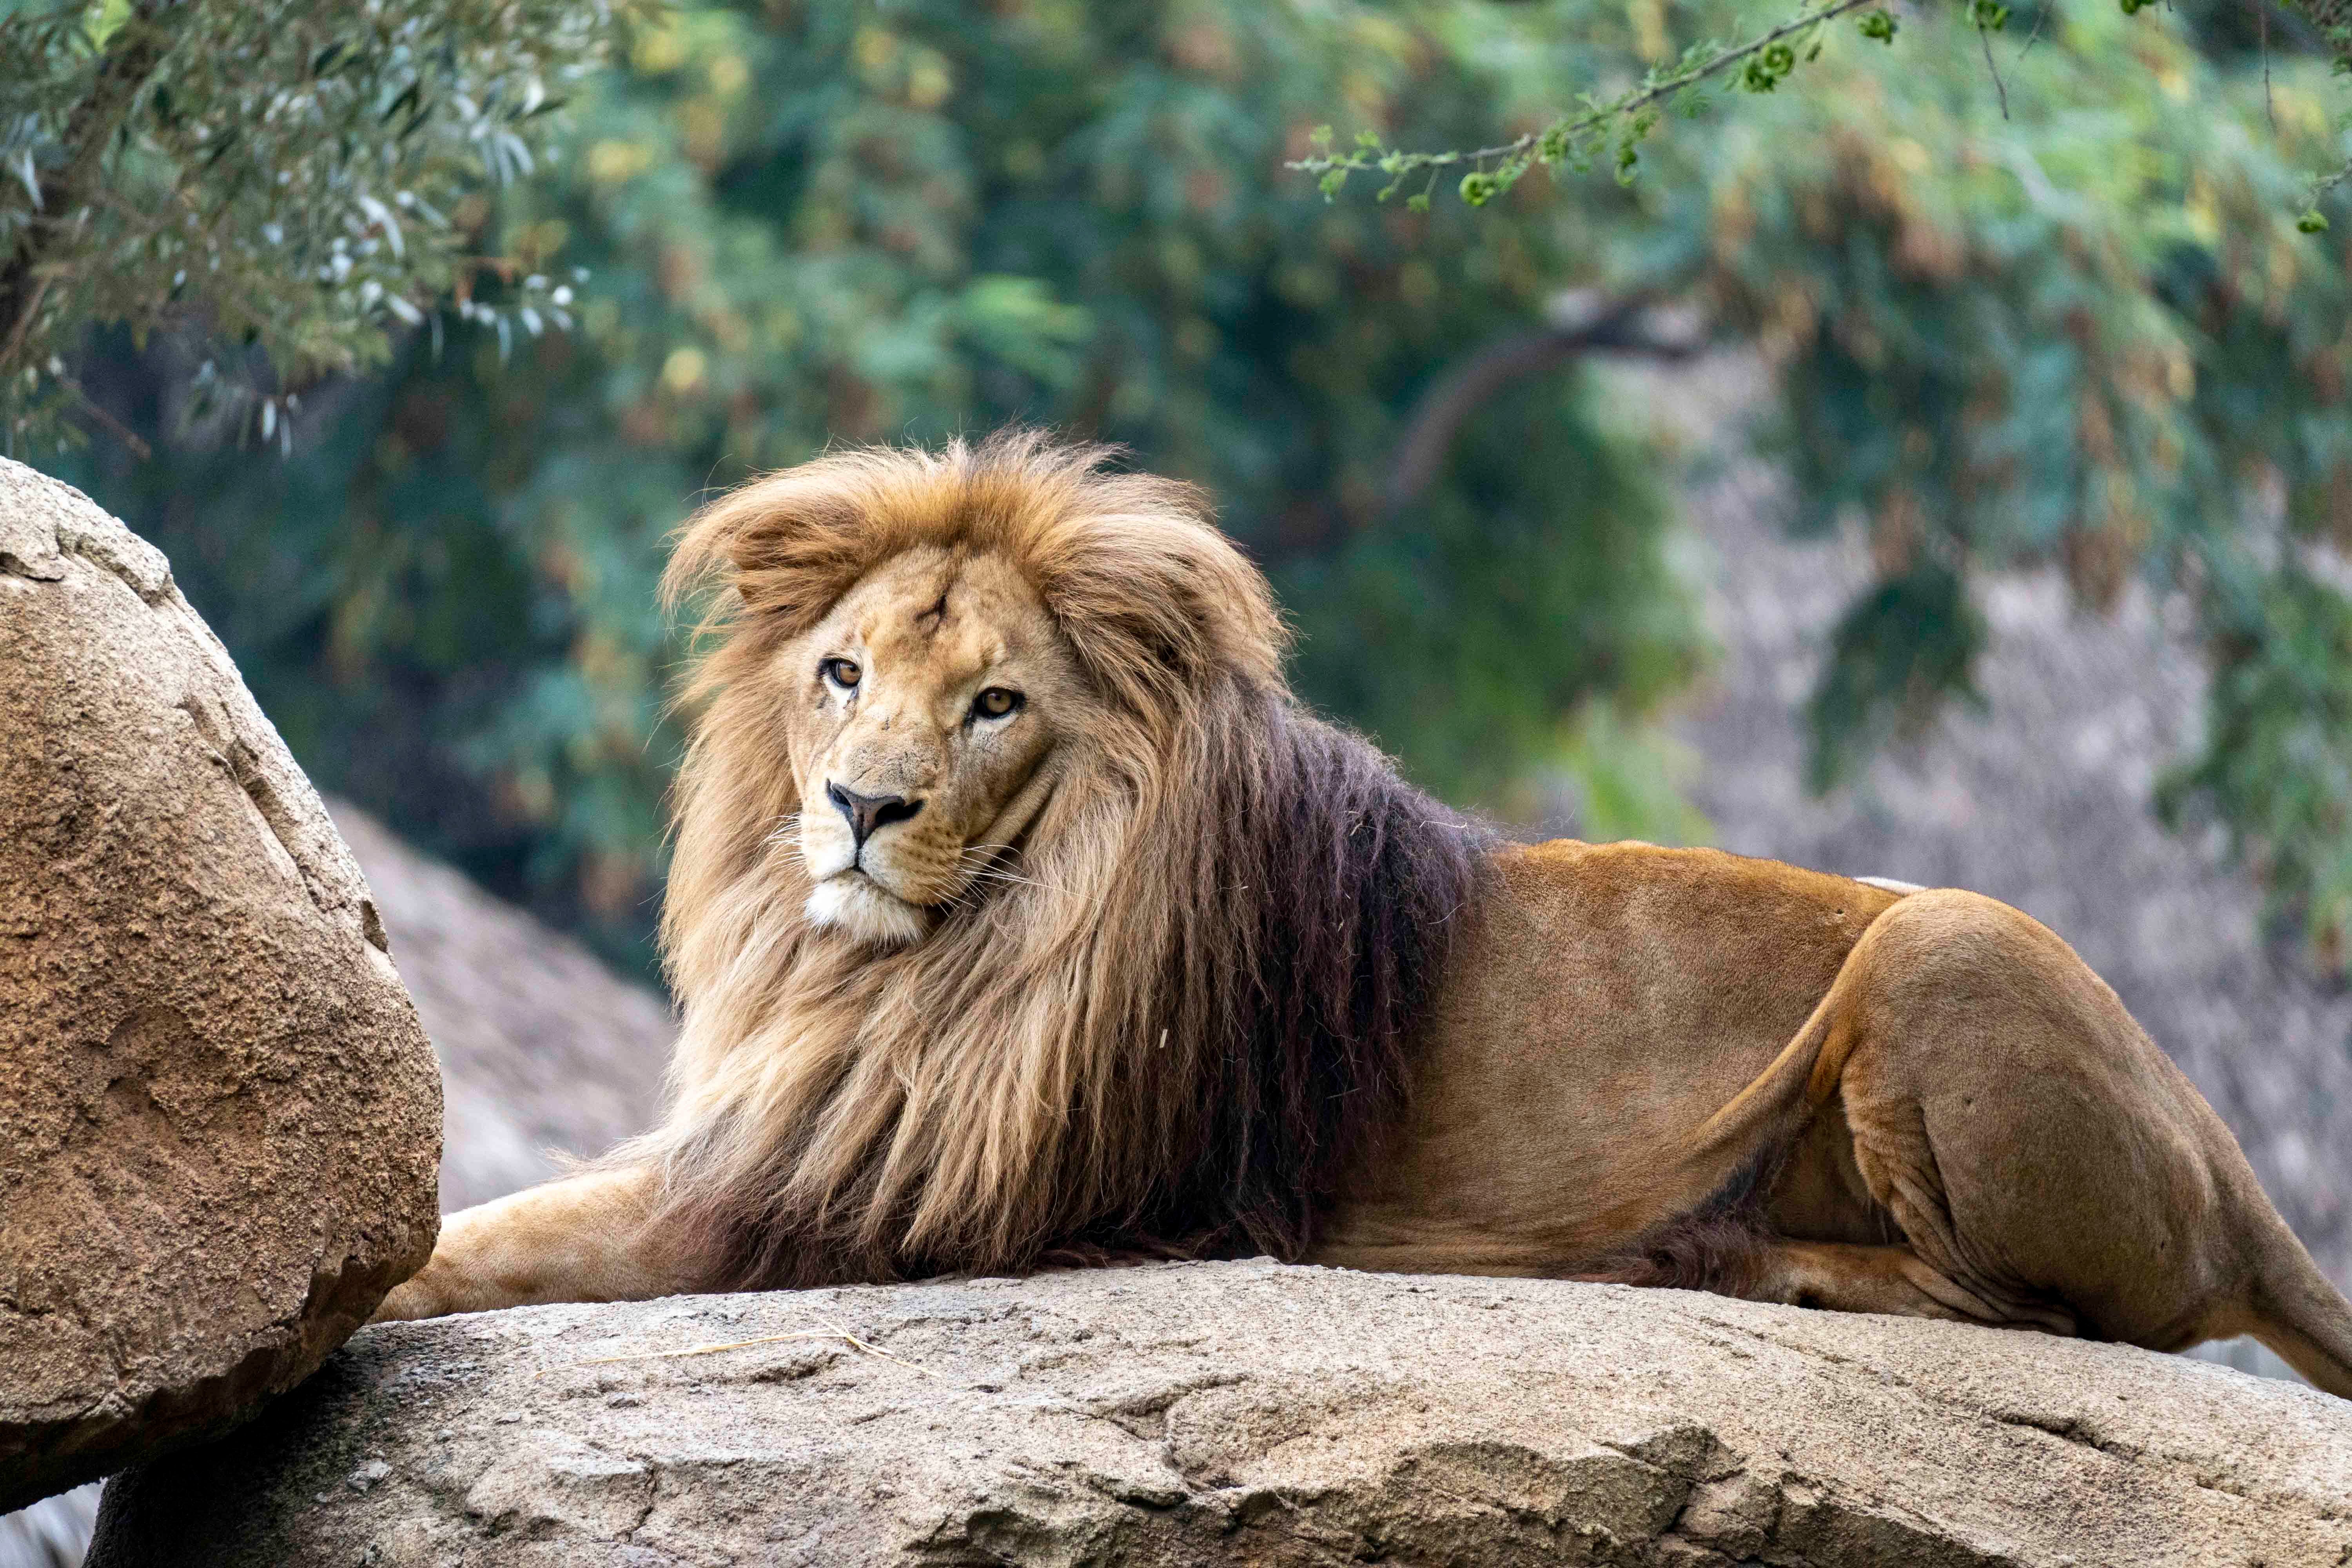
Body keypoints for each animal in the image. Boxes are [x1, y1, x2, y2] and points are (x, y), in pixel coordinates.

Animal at [374, 432, 2352, 1398]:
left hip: (1949, 938)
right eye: (841, 673)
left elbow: (490, 1246)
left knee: (2057, 1322)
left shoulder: (853, 1204)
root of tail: (2228, 1161)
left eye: (994, 705)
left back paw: (1725, 1254)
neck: (932, 957)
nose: (861, 810)